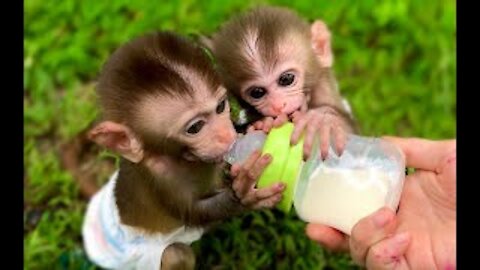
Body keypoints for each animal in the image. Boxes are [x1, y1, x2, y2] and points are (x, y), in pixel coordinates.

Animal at [82, 32, 284, 270]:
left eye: (221, 107)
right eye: (195, 128)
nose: (227, 136)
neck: (182, 158)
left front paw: (263, 124)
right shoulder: (159, 179)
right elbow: (193, 213)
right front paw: (243, 195)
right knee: (176, 254)